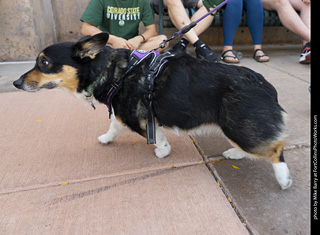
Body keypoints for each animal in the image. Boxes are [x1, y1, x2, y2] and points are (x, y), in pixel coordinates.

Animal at [13, 32, 292, 189]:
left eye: (44, 62)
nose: (16, 83)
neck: (108, 71)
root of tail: (264, 85)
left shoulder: (136, 117)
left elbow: (156, 137)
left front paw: (162, 152)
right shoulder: (121, 113)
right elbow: (113, 127)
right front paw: (105, 138)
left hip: (239, 127)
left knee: (275, 149)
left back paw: (283, 179)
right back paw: (234, 153)